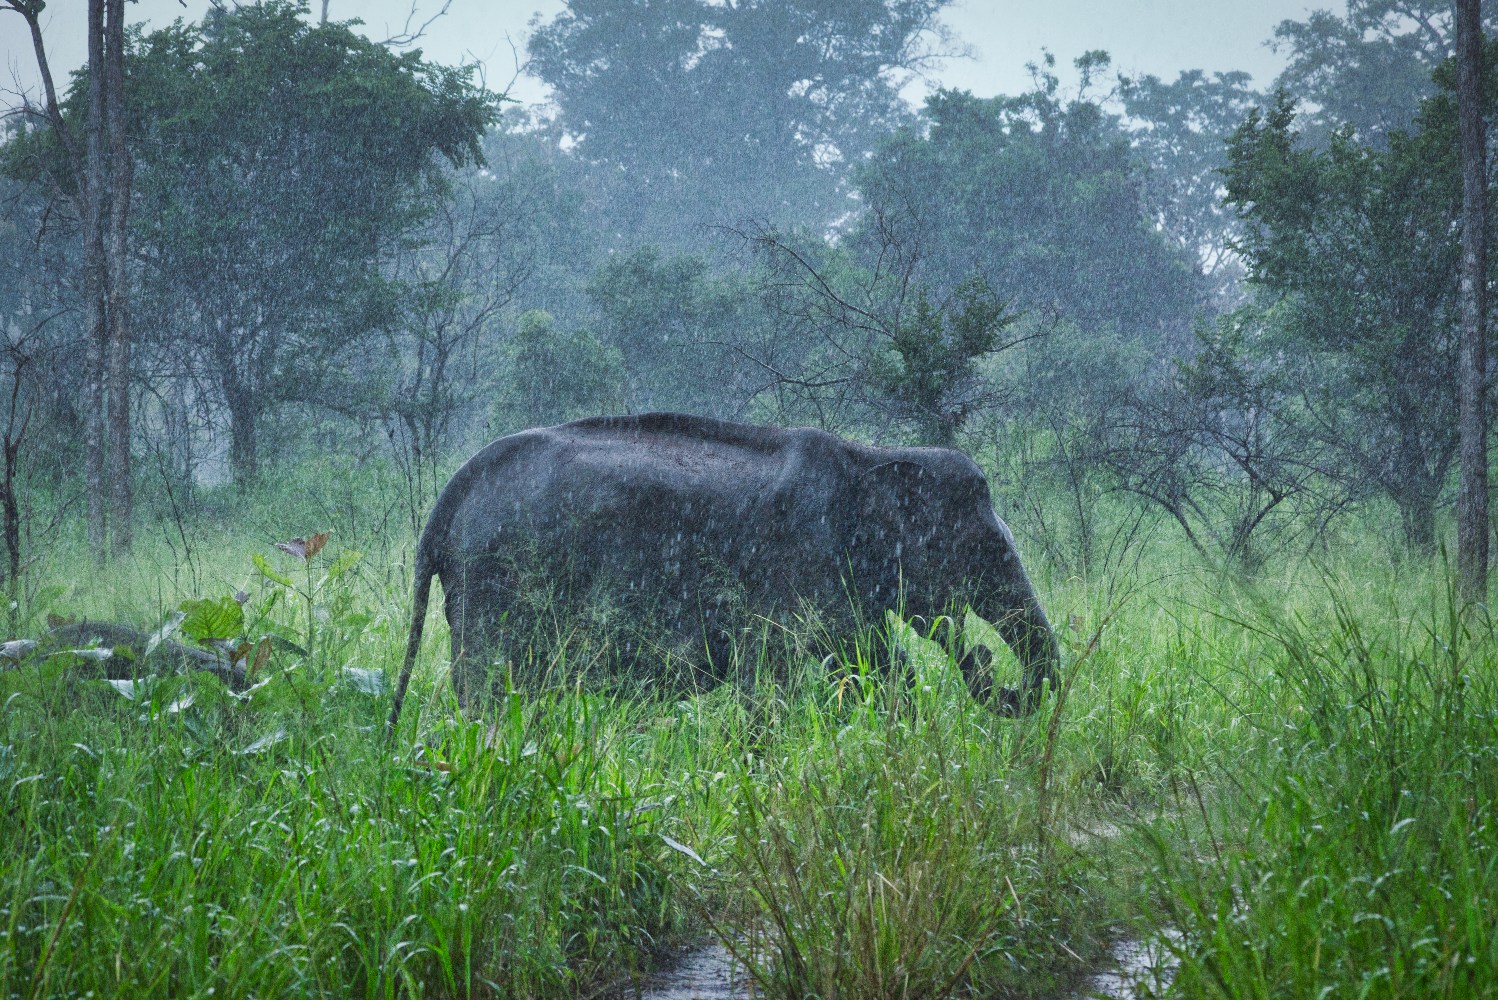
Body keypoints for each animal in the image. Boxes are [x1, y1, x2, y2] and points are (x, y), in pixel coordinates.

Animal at [389, 410, 1066, 730]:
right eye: (984, 548)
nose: (984, 658)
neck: (871, 457)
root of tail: (444, 508)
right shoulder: (802, 568)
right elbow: (805, 674)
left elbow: (874, 668)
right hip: (494, 584)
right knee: (488, 692)